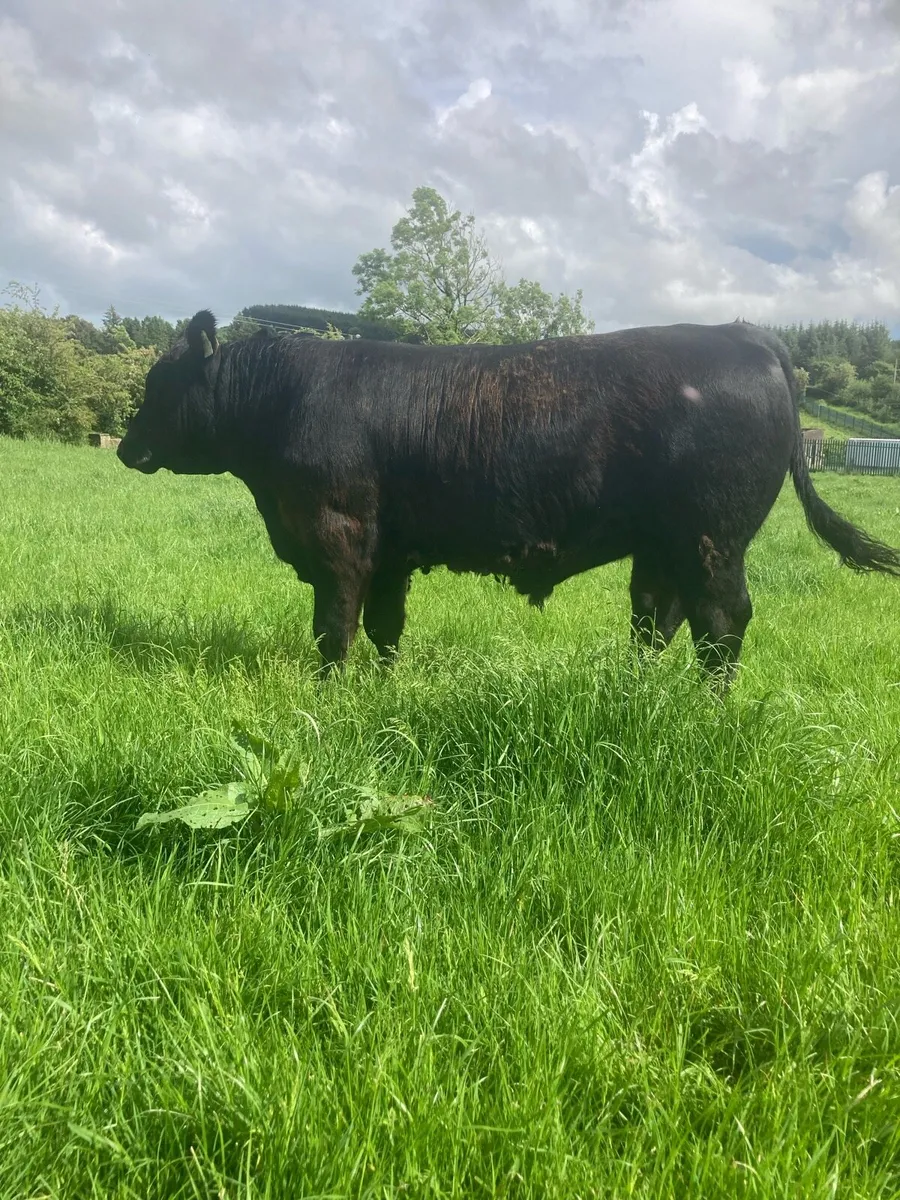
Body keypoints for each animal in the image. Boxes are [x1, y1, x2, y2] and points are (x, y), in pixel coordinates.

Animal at [117, 310, 900, 689]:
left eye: (159, 384)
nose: (124, 448)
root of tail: (749, 336)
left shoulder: (338, 533)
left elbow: (333, 628)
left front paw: (328, 696)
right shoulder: (390, 549)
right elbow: (386, 627)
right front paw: (382, 689)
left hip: (714, 535)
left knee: (721, 622)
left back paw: (706, 709)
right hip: (665, 544)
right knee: (658, 618)